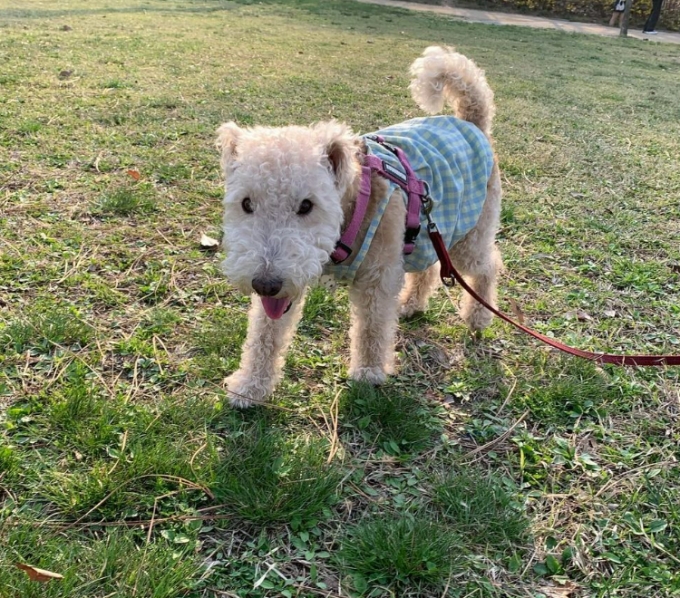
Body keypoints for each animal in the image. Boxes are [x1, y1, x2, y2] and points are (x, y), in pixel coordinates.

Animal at [215, 47, 502, 410]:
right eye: (246, 204)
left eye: (306, 205)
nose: (265, 284)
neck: (350, 204)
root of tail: (470, 121)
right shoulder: (288, 285)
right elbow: (265, 334)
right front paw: (250, 386)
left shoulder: (376, 278)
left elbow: (371, 330)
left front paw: (368, 374)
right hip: (430, 228)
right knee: (429, 268)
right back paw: (410, 304)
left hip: (470, 235)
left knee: (490, 264)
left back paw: (478, 317)